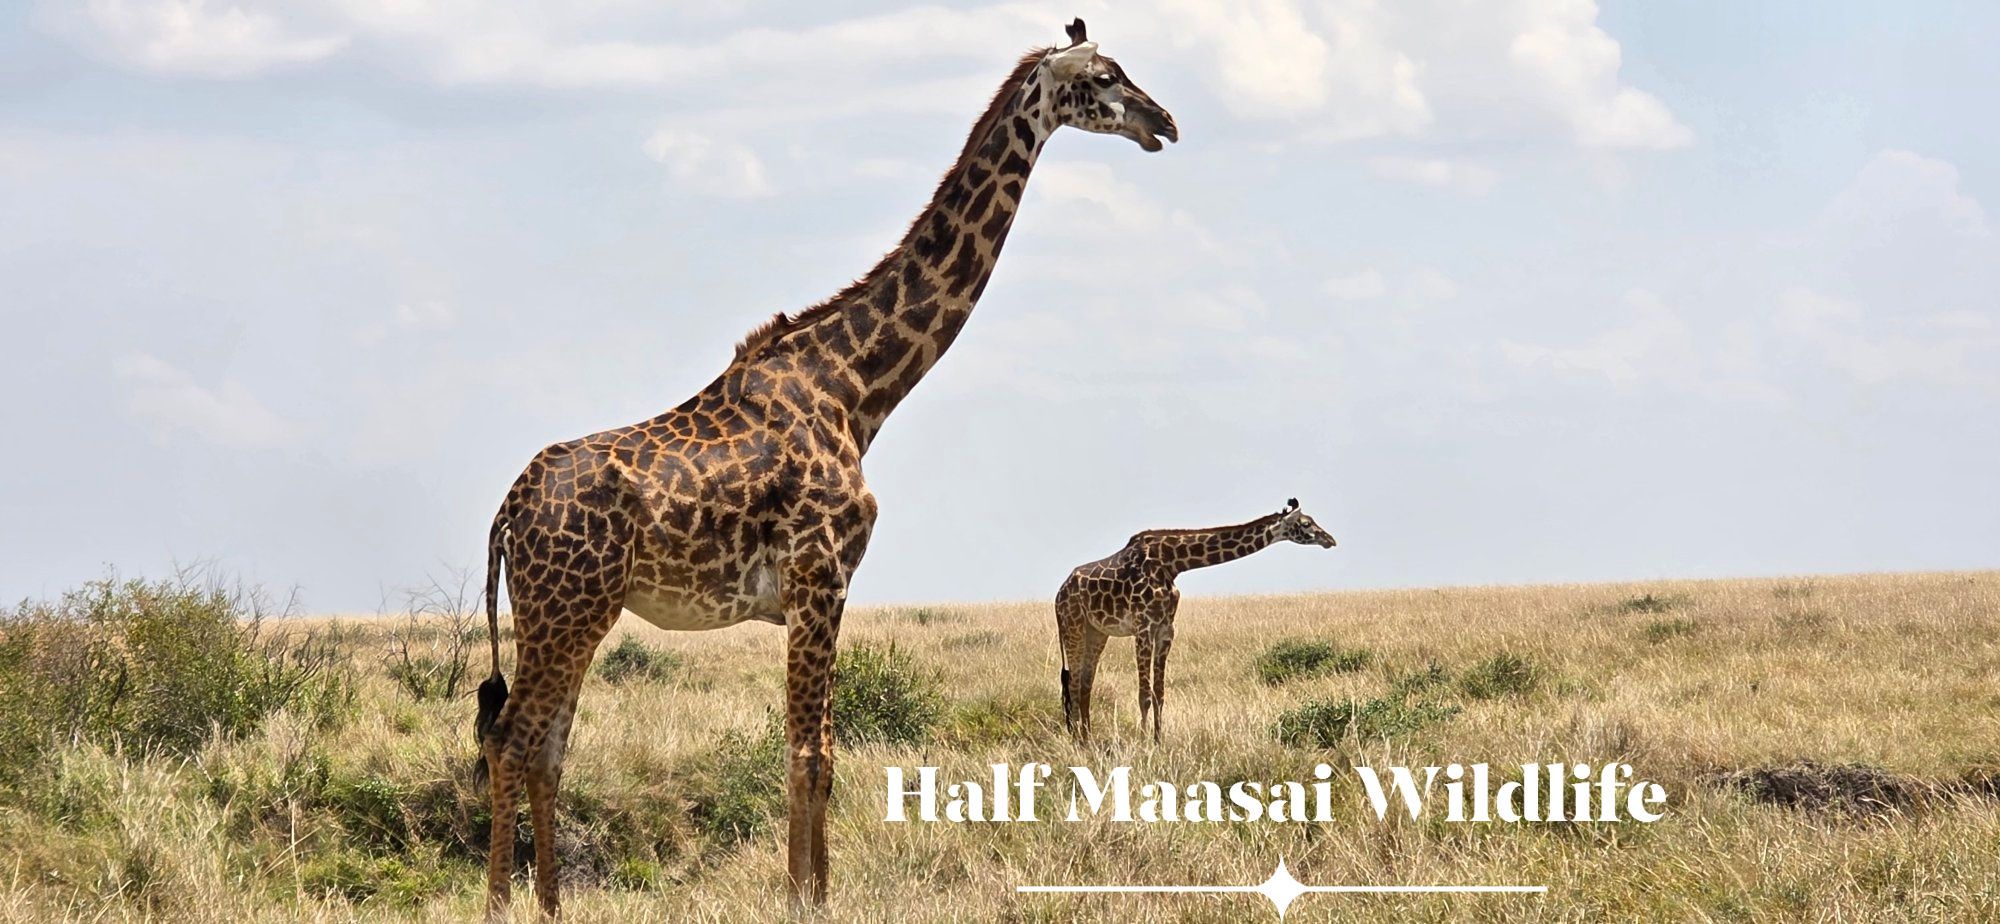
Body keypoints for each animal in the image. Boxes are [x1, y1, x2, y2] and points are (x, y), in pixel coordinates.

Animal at [472, 19, 1175, 920]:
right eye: (1107, 75)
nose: (1164, 123)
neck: (857, 389)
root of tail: (506, 514)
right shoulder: (821, 575)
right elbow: (814, 754)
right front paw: (810, 897)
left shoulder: (814, 588)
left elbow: (810, 750)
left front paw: (810, 889)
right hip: (567, 608)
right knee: (513, 739)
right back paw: (503, 902)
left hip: (569, 613)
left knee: (547, 743)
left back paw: (553, 904)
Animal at [1056, 499, 1337, 744]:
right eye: (1305, 523)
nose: (1330, 540)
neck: (1173, 563)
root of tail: (1060, 593)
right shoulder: (1143, 627)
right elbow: (1144, 694)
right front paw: (1143, 744)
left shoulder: (1165, 629)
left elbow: (1159, 693)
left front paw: (1158, 742)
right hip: (1073, 626)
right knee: (1073, 683)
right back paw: (1078, 742)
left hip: (1096, 632)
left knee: (1085, 685)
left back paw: (1087, 740)